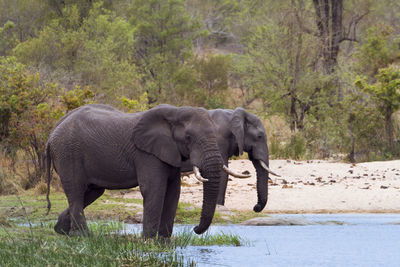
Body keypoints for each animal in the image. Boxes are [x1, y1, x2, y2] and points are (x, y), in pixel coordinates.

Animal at [45, 104, 239, 239]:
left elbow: (173, 192)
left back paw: (61, 229)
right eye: (188, 137)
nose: (195, 229)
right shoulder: (146, 154)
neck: (175, 112)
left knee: (91, 192)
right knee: (76, 192)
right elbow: (154, 189)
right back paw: (84, 236)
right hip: (68, 153)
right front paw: (149, 241)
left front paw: (164, 242)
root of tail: (51, 134)